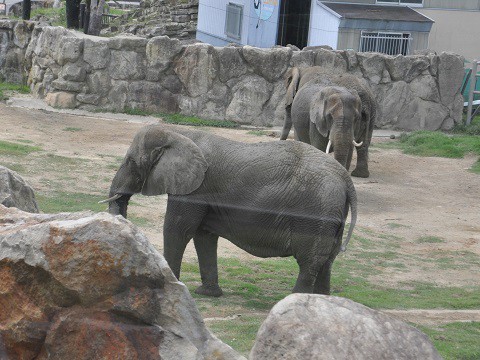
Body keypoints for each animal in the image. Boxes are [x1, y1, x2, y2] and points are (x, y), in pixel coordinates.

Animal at [103, 125, 358, 296]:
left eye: (130, 162)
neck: (179, 133)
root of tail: (346, 178)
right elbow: (203, 236)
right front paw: (206, 294)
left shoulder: (194, 189)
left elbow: (178, 229)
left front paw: (171, 285)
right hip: (331, 212)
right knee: (327, 260)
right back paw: (322, 301)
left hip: (316, 211)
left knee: (309, 261)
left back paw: (296, 300)